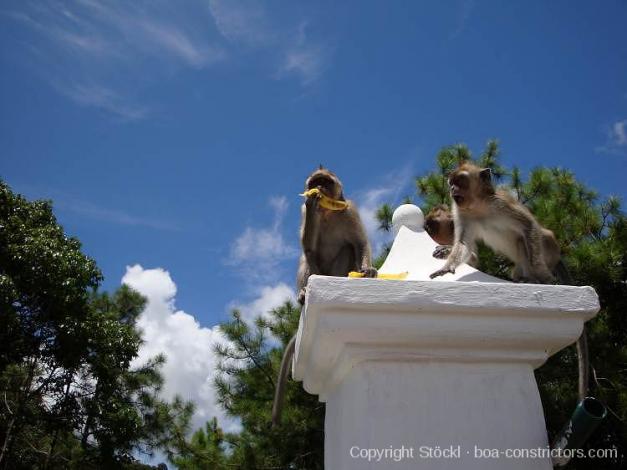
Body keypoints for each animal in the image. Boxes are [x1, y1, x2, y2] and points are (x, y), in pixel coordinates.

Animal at [272, 168, 378, 426]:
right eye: (315, 181)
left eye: (325, 182)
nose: (318, 189)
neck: (329, 211)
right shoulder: (304, 214)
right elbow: (308, 249)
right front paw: (311, 205)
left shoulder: (350, 209)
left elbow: (360, 242)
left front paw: (368, 270)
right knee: (306, 259)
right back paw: (303, 293)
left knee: (348, 249)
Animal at [432, 162, 588, 400]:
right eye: (452, 182)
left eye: (460, 181)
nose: (451, 190)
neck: (478, 207)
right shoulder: (462, 214)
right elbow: (464, 246)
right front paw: (447, 264)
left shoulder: (501, 204)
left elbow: (528, 226)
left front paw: (543, 276)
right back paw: (522, 278)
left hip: (548, 247)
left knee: (529, 238)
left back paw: (536, 276)